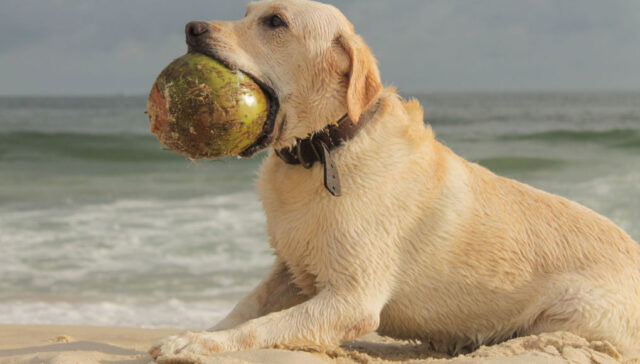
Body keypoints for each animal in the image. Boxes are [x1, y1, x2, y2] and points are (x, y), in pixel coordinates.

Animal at [151, 0, 640, 360]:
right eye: (247, 11)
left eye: (275, 22)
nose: (192, 27)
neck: (323, 149)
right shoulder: (290, 270)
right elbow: (246, 308)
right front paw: (198, 333)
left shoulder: (353, 297)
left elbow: (261, 326)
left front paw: (201, 343)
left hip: (568, 312)